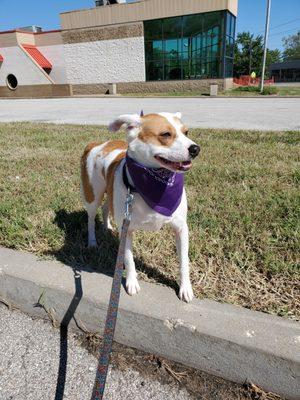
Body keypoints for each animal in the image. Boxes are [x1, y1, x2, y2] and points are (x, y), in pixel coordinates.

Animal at [81, 111, 200, 302]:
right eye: (165, 134)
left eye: (186, 132)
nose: (195, 149)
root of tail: (97, 144)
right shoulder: (127, 229)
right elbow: (128, 259)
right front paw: (131, 282)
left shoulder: (181, 228)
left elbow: (184, 261)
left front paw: (185, 288)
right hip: (92, 195)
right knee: (91, 218)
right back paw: (92, 241)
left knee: (106, 207)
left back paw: (107, 226)